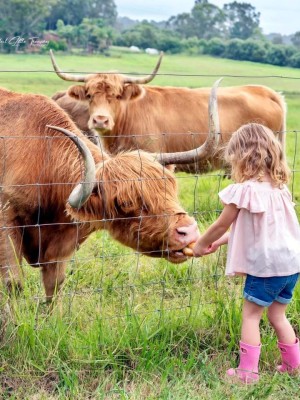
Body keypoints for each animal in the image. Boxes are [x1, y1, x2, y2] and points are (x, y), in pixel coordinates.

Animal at [0, 81, 220, 300]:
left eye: (172, 188)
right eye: (125, 203)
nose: (189, 231)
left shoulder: (59, 249)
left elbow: (54, 285)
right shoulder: (7, 224)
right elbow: (14, 284)